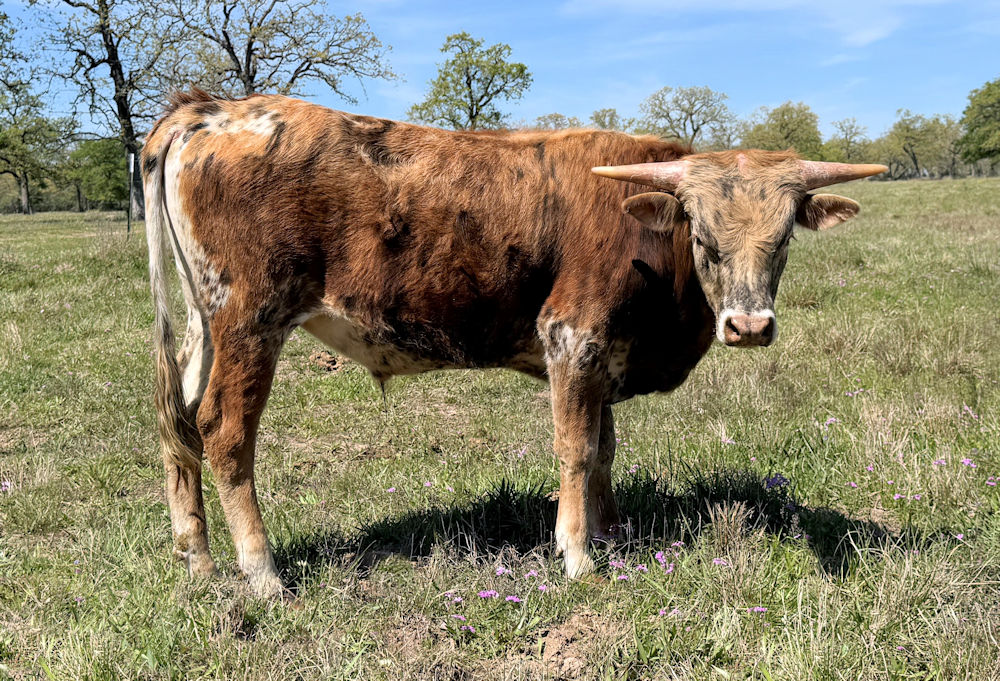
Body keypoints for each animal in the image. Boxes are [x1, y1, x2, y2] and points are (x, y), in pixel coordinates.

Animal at [142, 90, 885, 597]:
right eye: (702, 235)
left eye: (784, 237)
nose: (749, 327)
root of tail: (211, 110)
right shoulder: (573, 339)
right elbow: (577, 450)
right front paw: (579, 555)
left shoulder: (604, 356)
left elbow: (604, 450)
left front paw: (611, 534)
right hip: (251, 321)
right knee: (224, 431)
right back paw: (262, 572)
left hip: (206, 327)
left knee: (178, 422)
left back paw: (196, 556)